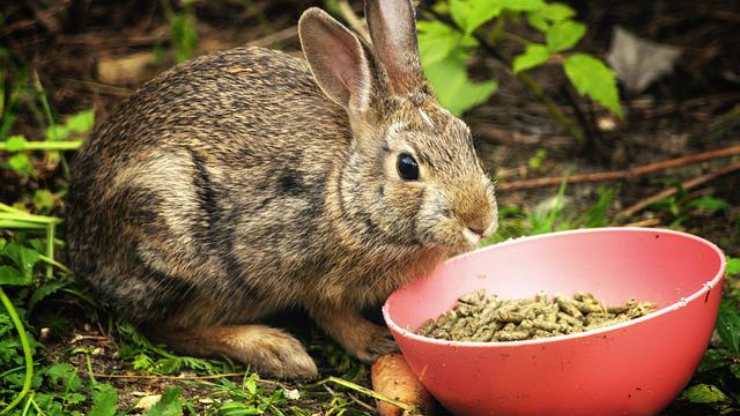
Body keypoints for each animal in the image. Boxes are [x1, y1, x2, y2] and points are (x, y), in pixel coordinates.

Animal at [66, 0, 498, 380]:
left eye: (467, 138)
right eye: (408, 167)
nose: (481, 223)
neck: (345, 193)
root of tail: (81, 246)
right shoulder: (297, 267)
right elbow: (329, 313)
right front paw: (375, 341)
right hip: (176, 237)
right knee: (164, 327)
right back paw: (276, 351)